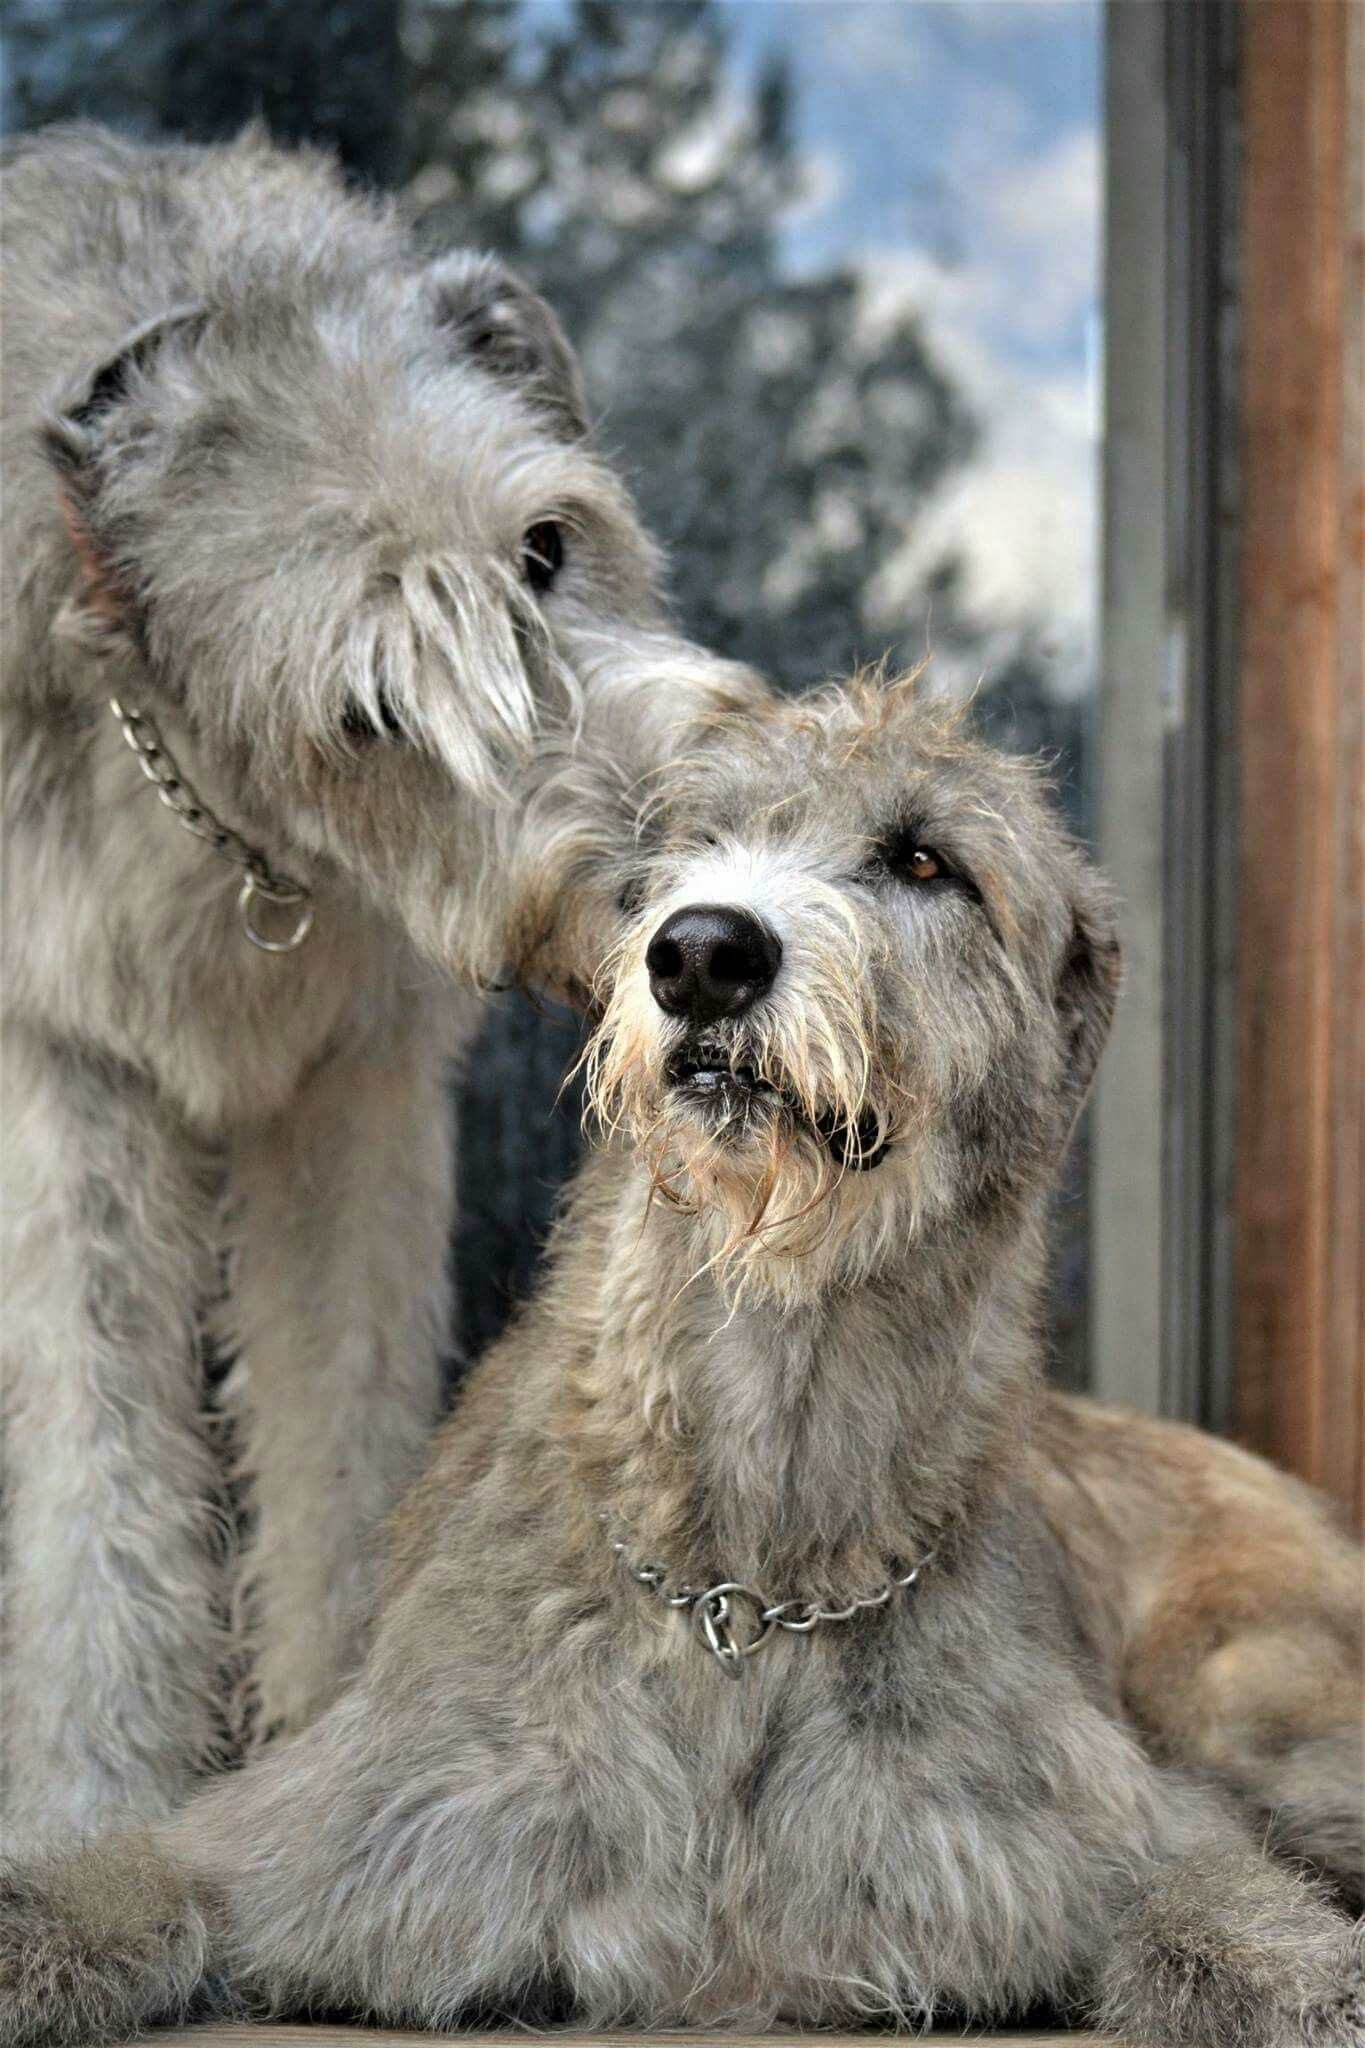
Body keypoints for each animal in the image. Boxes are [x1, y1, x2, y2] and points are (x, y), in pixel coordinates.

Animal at [0, 119, 765, 1835]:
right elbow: (92, 1477)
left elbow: (345, 1424)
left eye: (545, 548)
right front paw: (87, 1813)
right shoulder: (64, 1082)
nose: (684, 926)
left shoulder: (350, 1093)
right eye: (368, 716)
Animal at [5, 675, 1358, 2048]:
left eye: (927, 859)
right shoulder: (340, 1812)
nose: (703, 951)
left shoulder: (1100, 1823)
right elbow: (115, 1880)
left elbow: (1247, 1920)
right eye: (694, 846)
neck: (747, 1580)